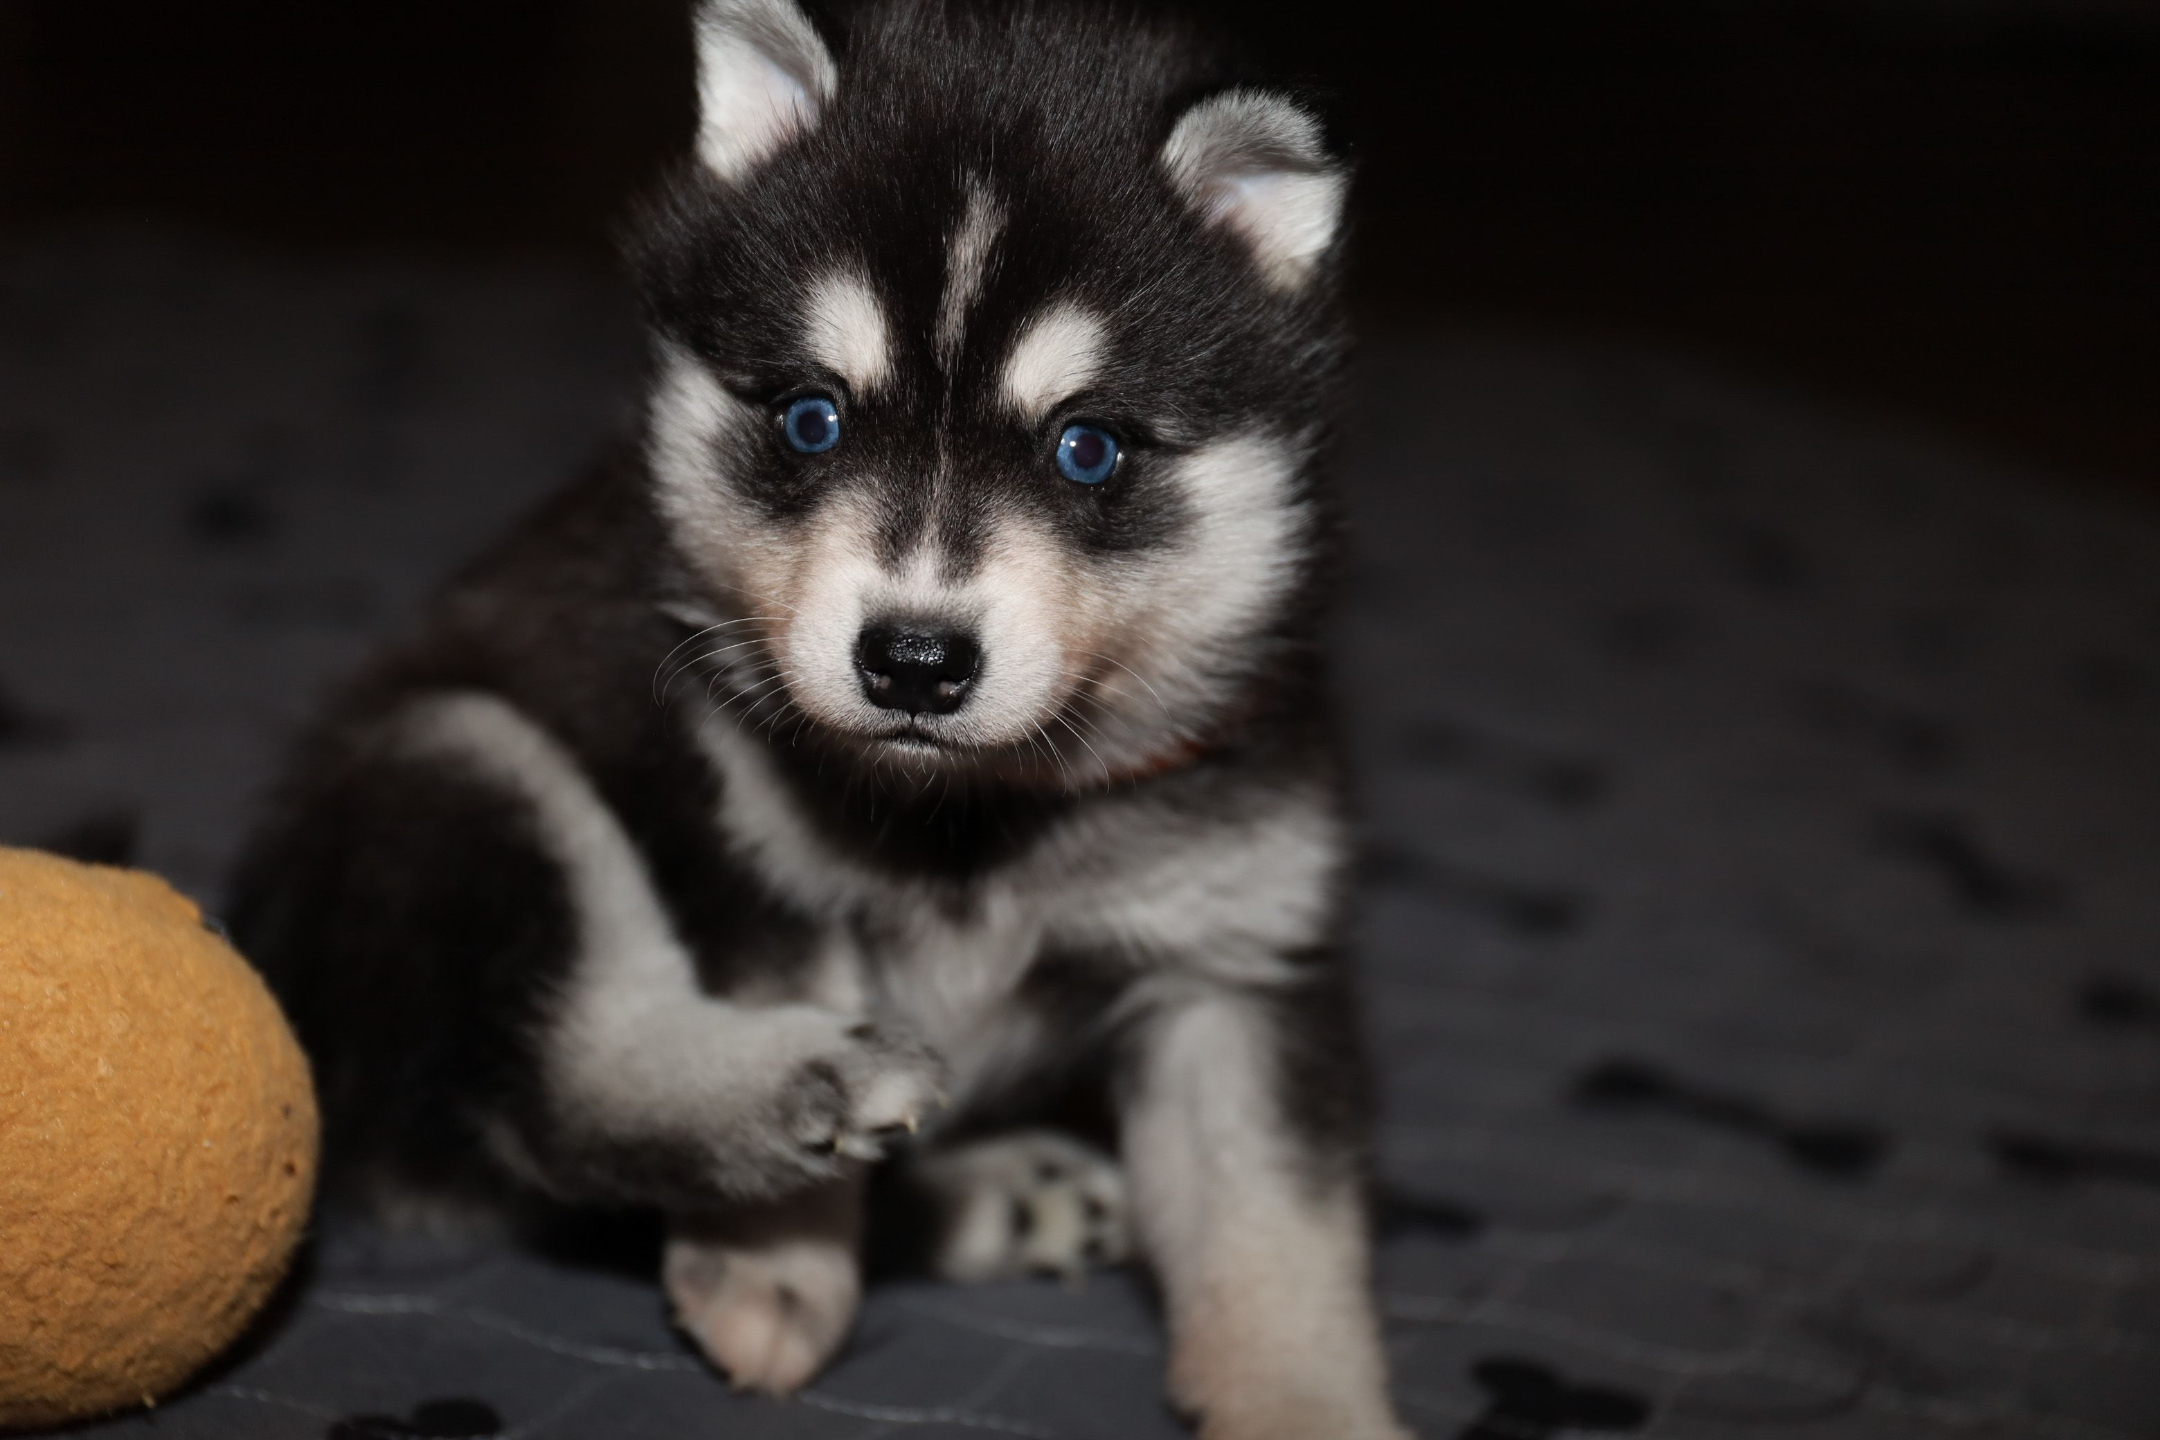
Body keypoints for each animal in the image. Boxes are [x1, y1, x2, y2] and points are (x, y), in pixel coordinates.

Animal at [227, 2, 1405, 1434]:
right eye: (810, 417)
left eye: (1087, 448)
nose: (914, 660)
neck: (967, 818)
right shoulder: (739, 860)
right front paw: (777, 1260)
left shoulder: (1237, 964)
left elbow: (1276, 1233)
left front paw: (1311, 1404)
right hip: (454, 765)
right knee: (567, 1080)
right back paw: (812, 1089)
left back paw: (998, 1196)